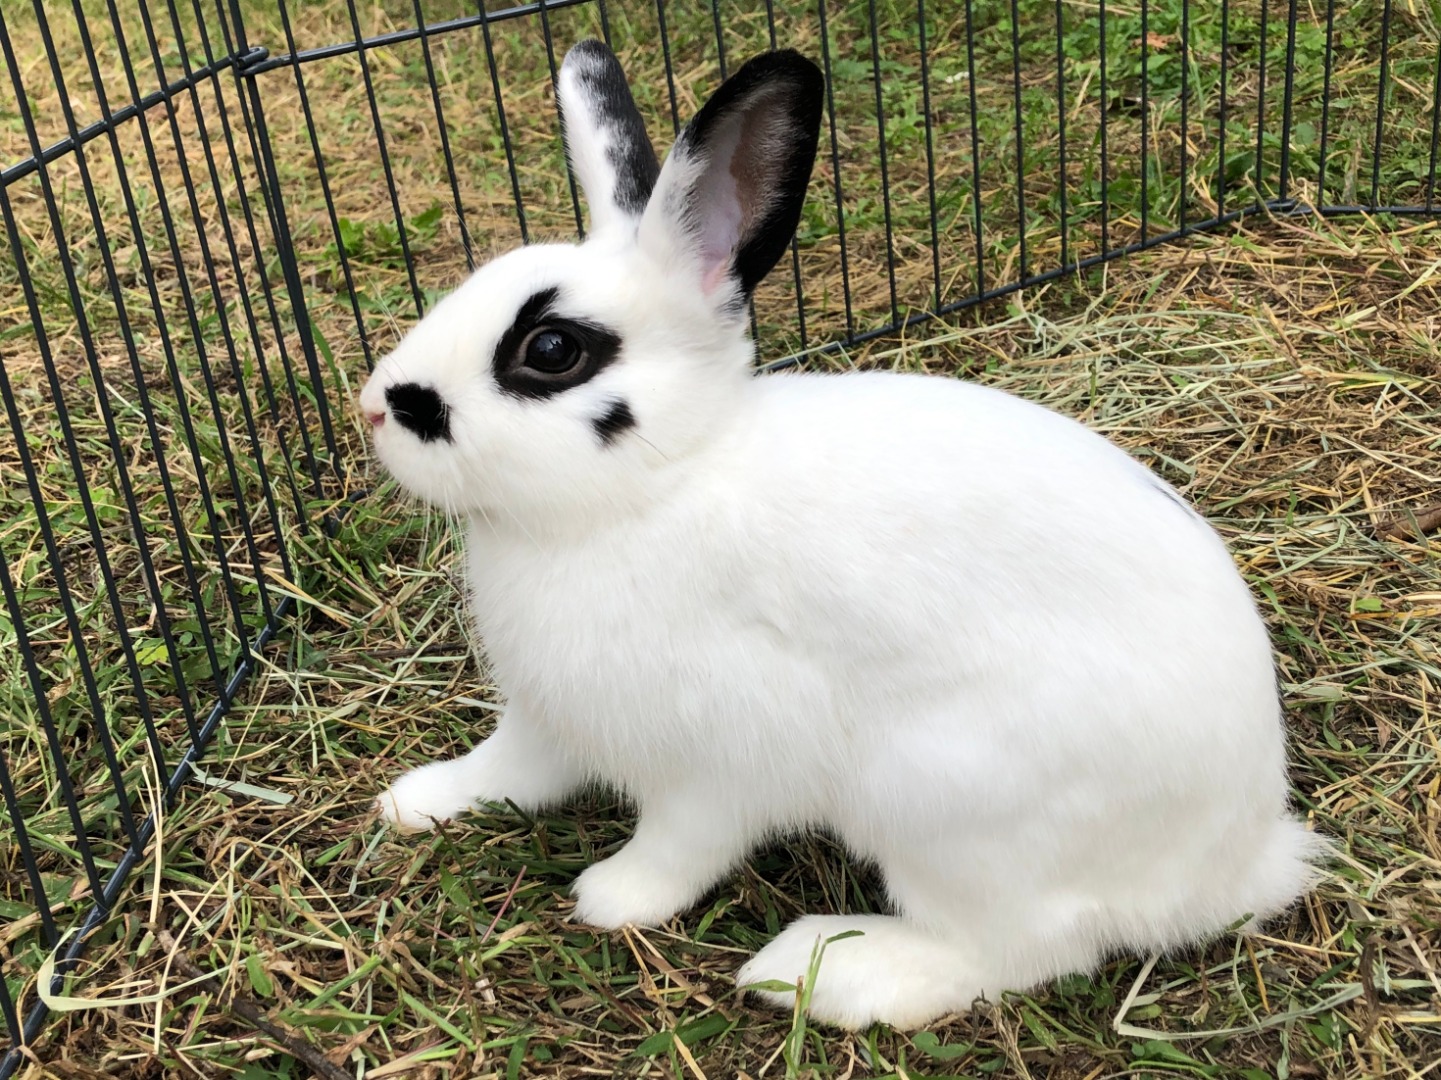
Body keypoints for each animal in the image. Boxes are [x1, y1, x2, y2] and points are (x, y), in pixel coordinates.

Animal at [359, 39, 1323, 1030]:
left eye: (550, 351)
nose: (374, 409)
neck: (661, 484)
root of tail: (1241, 860)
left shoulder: (722, 758)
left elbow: (681, 845)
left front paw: (610, 897)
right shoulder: (548, 712)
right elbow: (513, 767)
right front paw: (418, 800)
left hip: (947, 801)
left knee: (1019, 948)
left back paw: (816, 968)